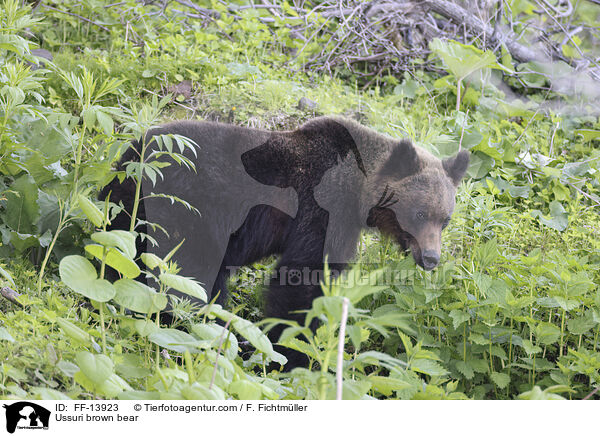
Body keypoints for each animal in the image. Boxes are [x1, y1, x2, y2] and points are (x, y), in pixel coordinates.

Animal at [101, 115, 472, 368]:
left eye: (445, 219)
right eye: (420, 213)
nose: (431, 258)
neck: (359, 194)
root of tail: (130, 157)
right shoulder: (323, 207)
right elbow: (303, 278)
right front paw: (293, 353)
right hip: (183, 209)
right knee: (182, 276)